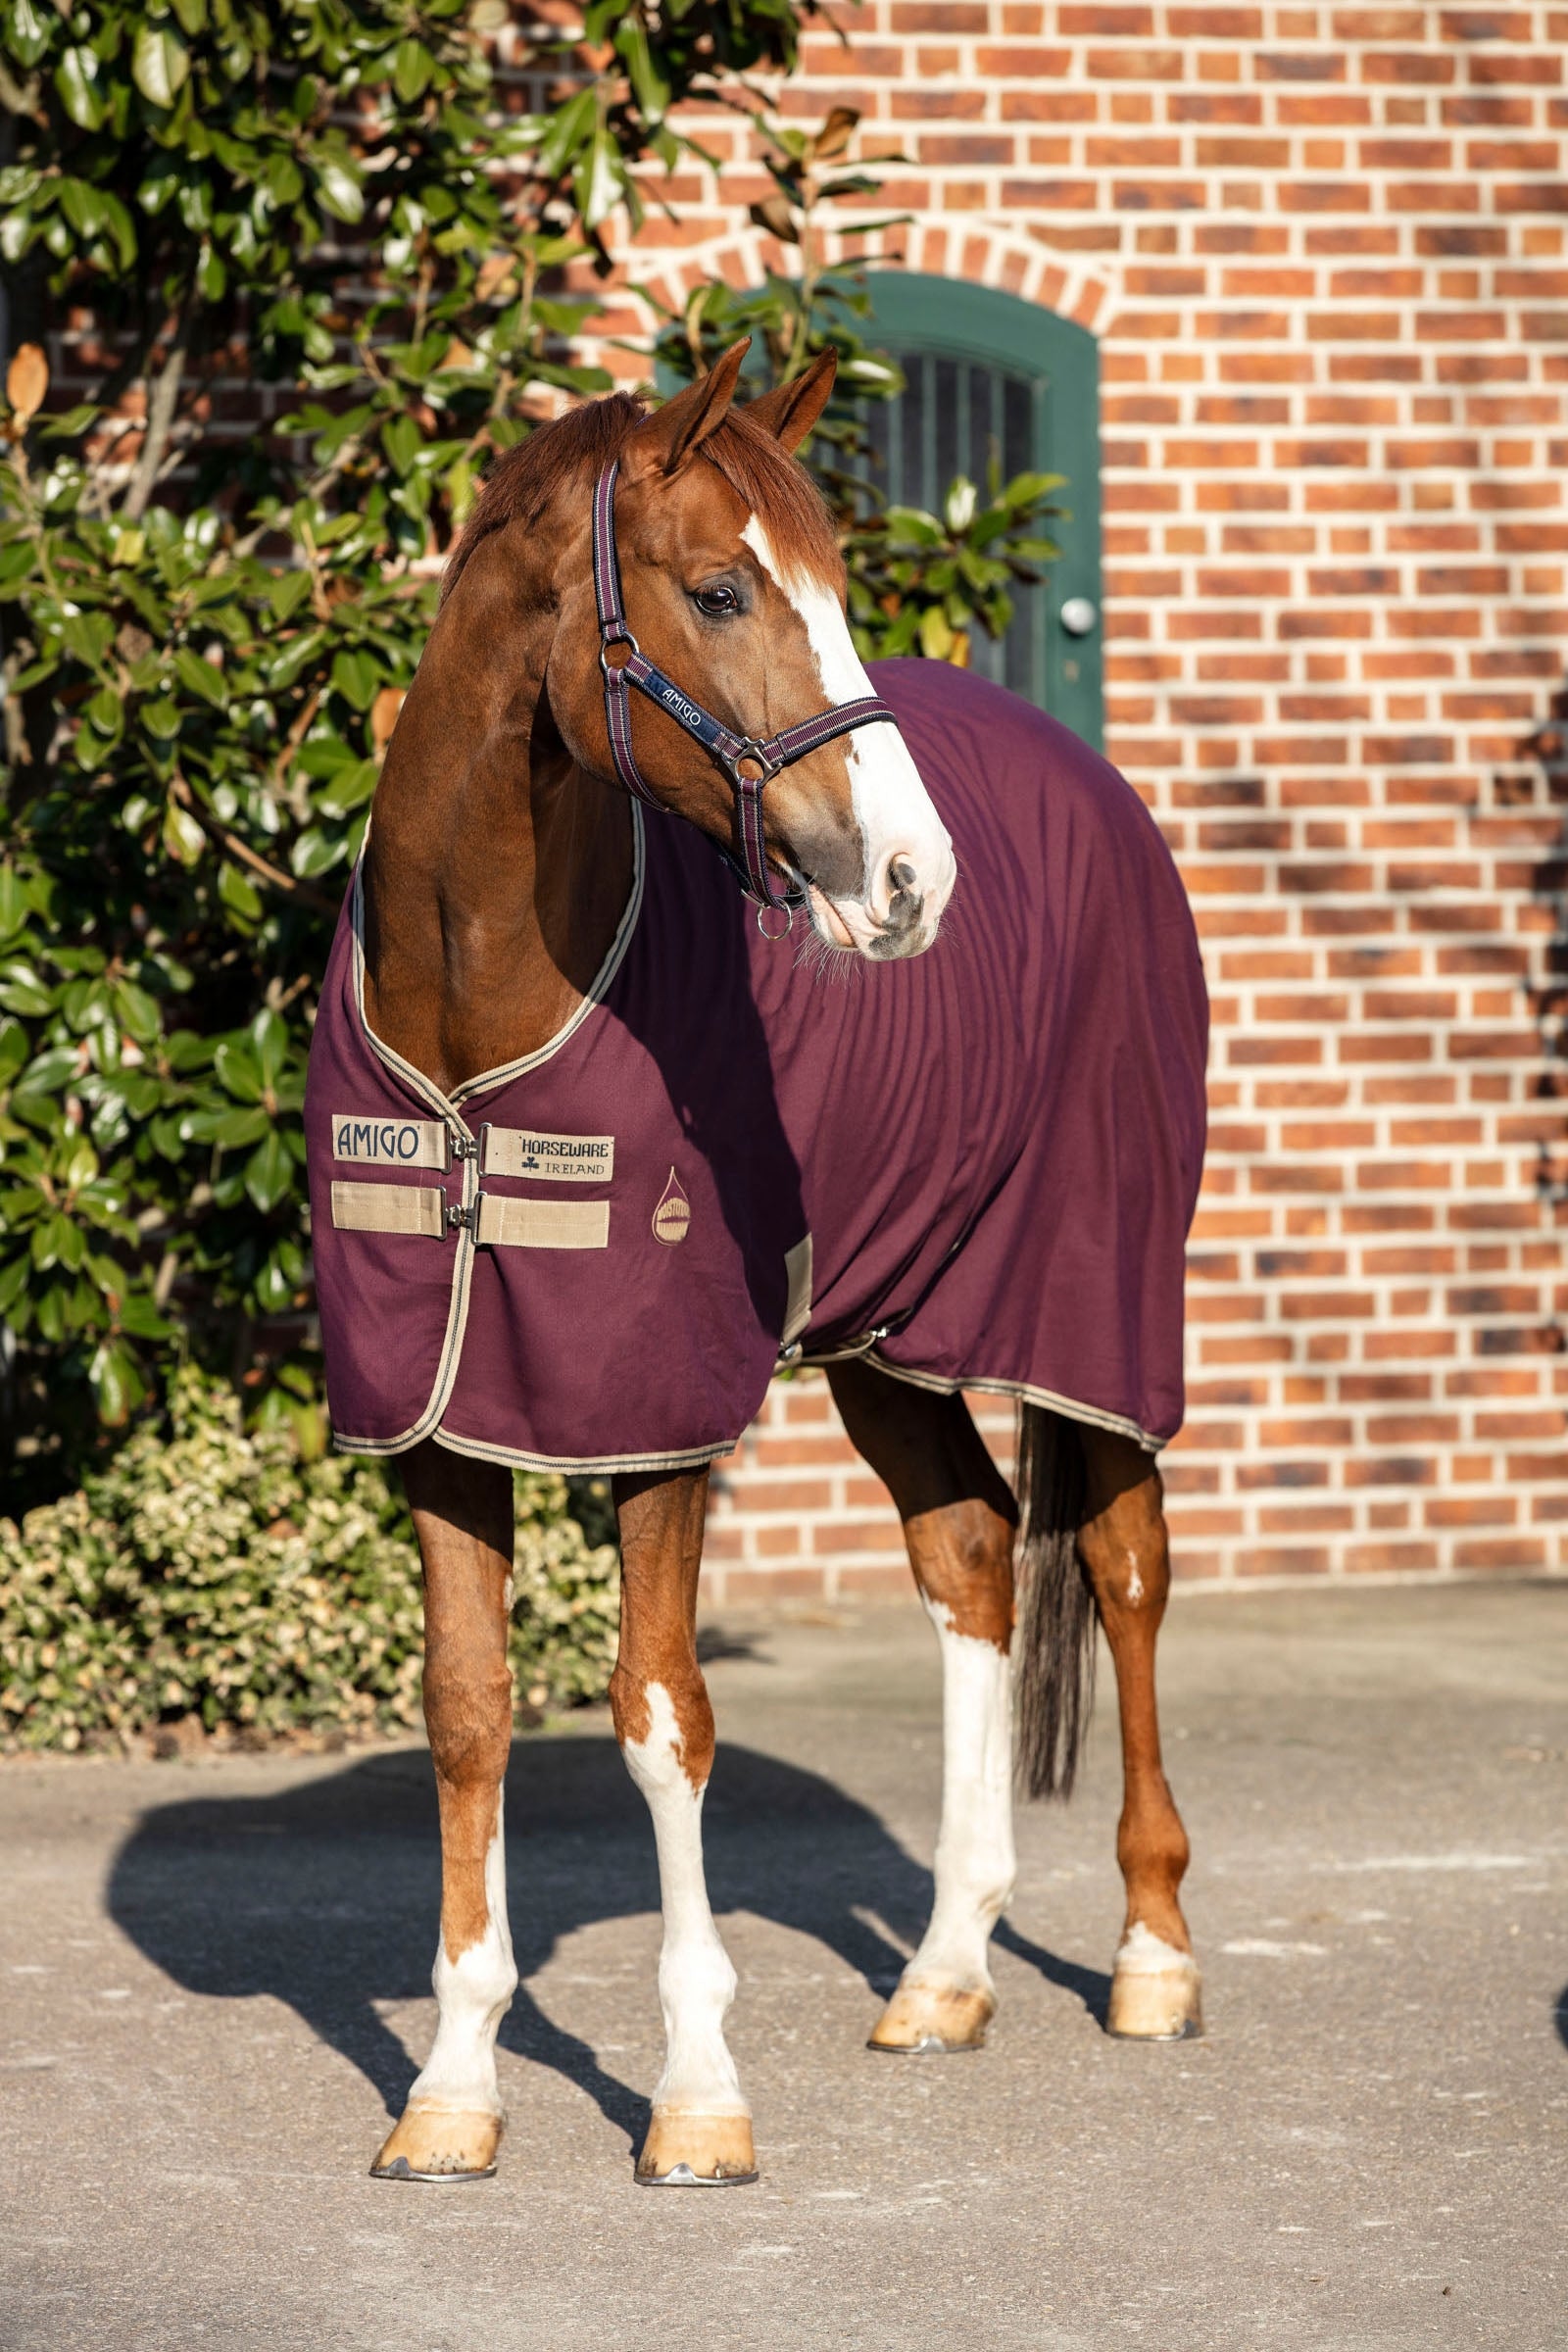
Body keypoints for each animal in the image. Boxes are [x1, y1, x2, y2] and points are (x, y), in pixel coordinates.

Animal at [302, 337, 1209, 2189]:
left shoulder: (657, 1420)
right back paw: (943, 1974)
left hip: (1096, 1302)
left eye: (843, 587)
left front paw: (698, 2094)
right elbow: (467, 1711)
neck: (475, 1005)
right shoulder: (437, 1419)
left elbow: (663, 1720)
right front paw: (453, 2088)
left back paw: (1152, 1956)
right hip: (888, 1335)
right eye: (721, 589)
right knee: (973, 1561)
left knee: (1128, 1566)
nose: (912, 880)